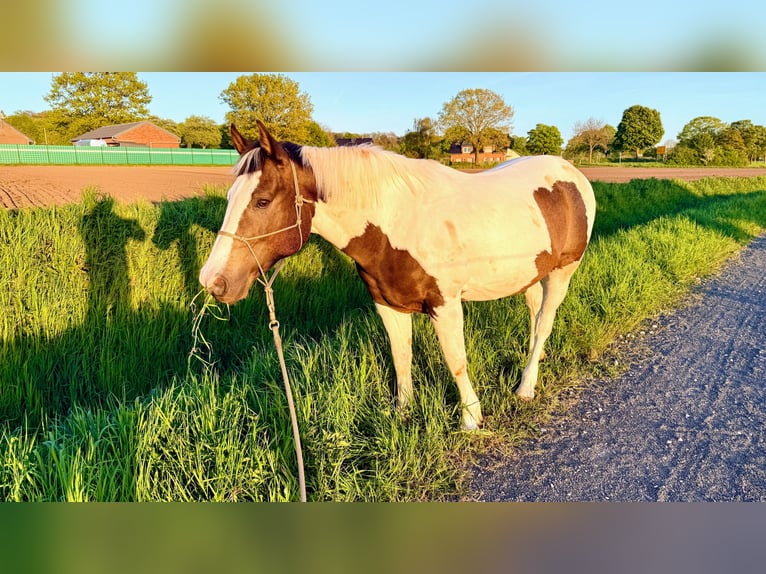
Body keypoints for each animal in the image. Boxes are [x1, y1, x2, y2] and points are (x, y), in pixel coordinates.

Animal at [199, 120, 596, 430]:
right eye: (230, 198)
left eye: (263, 200)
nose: (213, 281)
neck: (397, 222)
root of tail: (571, 172)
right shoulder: (387, 304)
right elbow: (400, 355)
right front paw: (403, 412)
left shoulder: (445, 305)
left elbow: (455, 361)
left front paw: (471, 418)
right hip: (529, 272)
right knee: (534, 313)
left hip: (563, 271)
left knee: (545, 322)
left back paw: (526, 387)